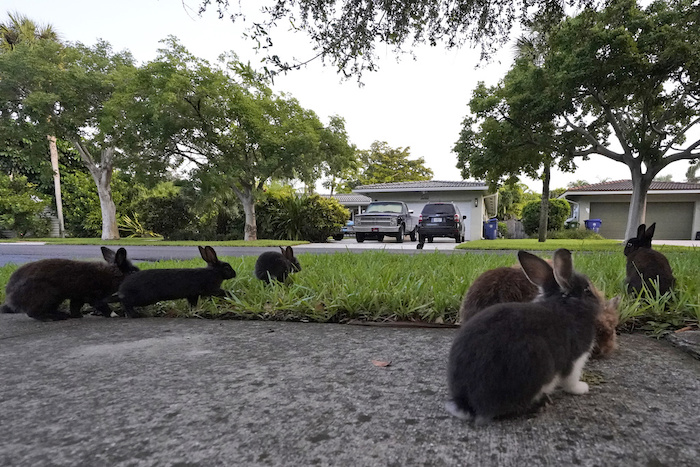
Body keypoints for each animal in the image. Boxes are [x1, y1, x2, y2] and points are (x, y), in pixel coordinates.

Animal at [0, 249, 138, 322]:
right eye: (132, 272)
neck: (112, 275)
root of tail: (11, 297)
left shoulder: (78, 297)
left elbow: (75, 306)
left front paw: (77, 316)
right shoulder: (94, 297)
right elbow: (103, 307)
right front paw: (115, 315)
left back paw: (61, 314)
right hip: (48, 295)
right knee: (32, 313)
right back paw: (54, 317)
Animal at [448, 250, 600, 426]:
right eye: (588, 290)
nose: (600, 301)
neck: (566, 303)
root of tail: (468, 404)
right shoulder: (575, 359)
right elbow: (571, 380)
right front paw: (582, 388)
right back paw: (541, 404)